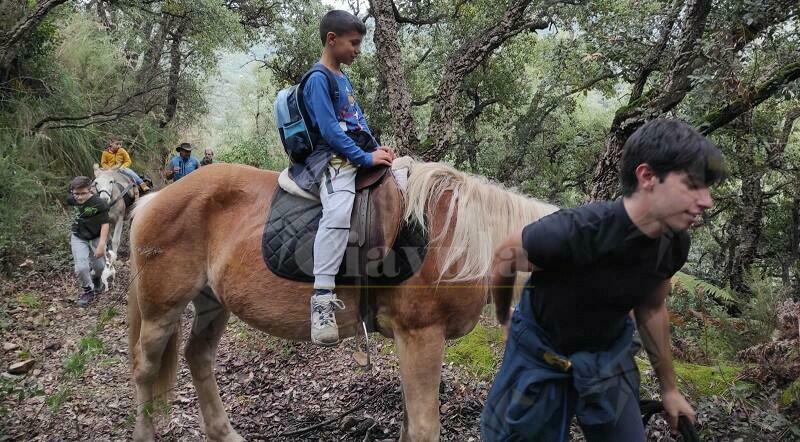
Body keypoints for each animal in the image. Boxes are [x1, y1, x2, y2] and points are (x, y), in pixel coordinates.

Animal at [128, 161, 560, 440]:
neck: (461, 241)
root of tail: (155, 199)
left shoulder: (412, 341)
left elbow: (409, 422)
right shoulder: (422, 335)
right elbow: (424, 427)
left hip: (212, 303)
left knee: (197, 356)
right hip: (162, 309)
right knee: (145, 370)